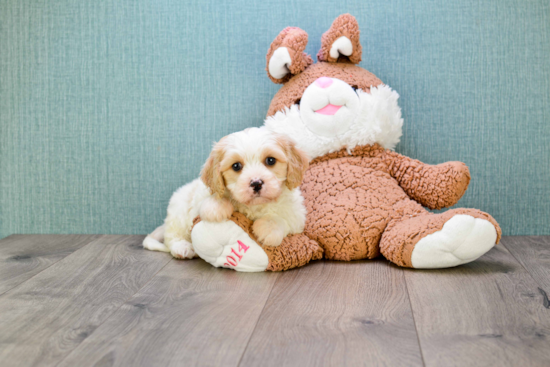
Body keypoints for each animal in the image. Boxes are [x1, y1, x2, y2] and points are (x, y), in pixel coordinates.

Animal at [142, 128, 310, 260]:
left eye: (270, 160)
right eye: (236, 166)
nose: (256, 183)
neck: (254, 206)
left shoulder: (296, 216)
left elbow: (282, 219)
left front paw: (268, 229)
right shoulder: (200, 195)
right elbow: (211, 198)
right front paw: (216, 208)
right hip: (179, 208)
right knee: (171, 237)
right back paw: (182, 247)